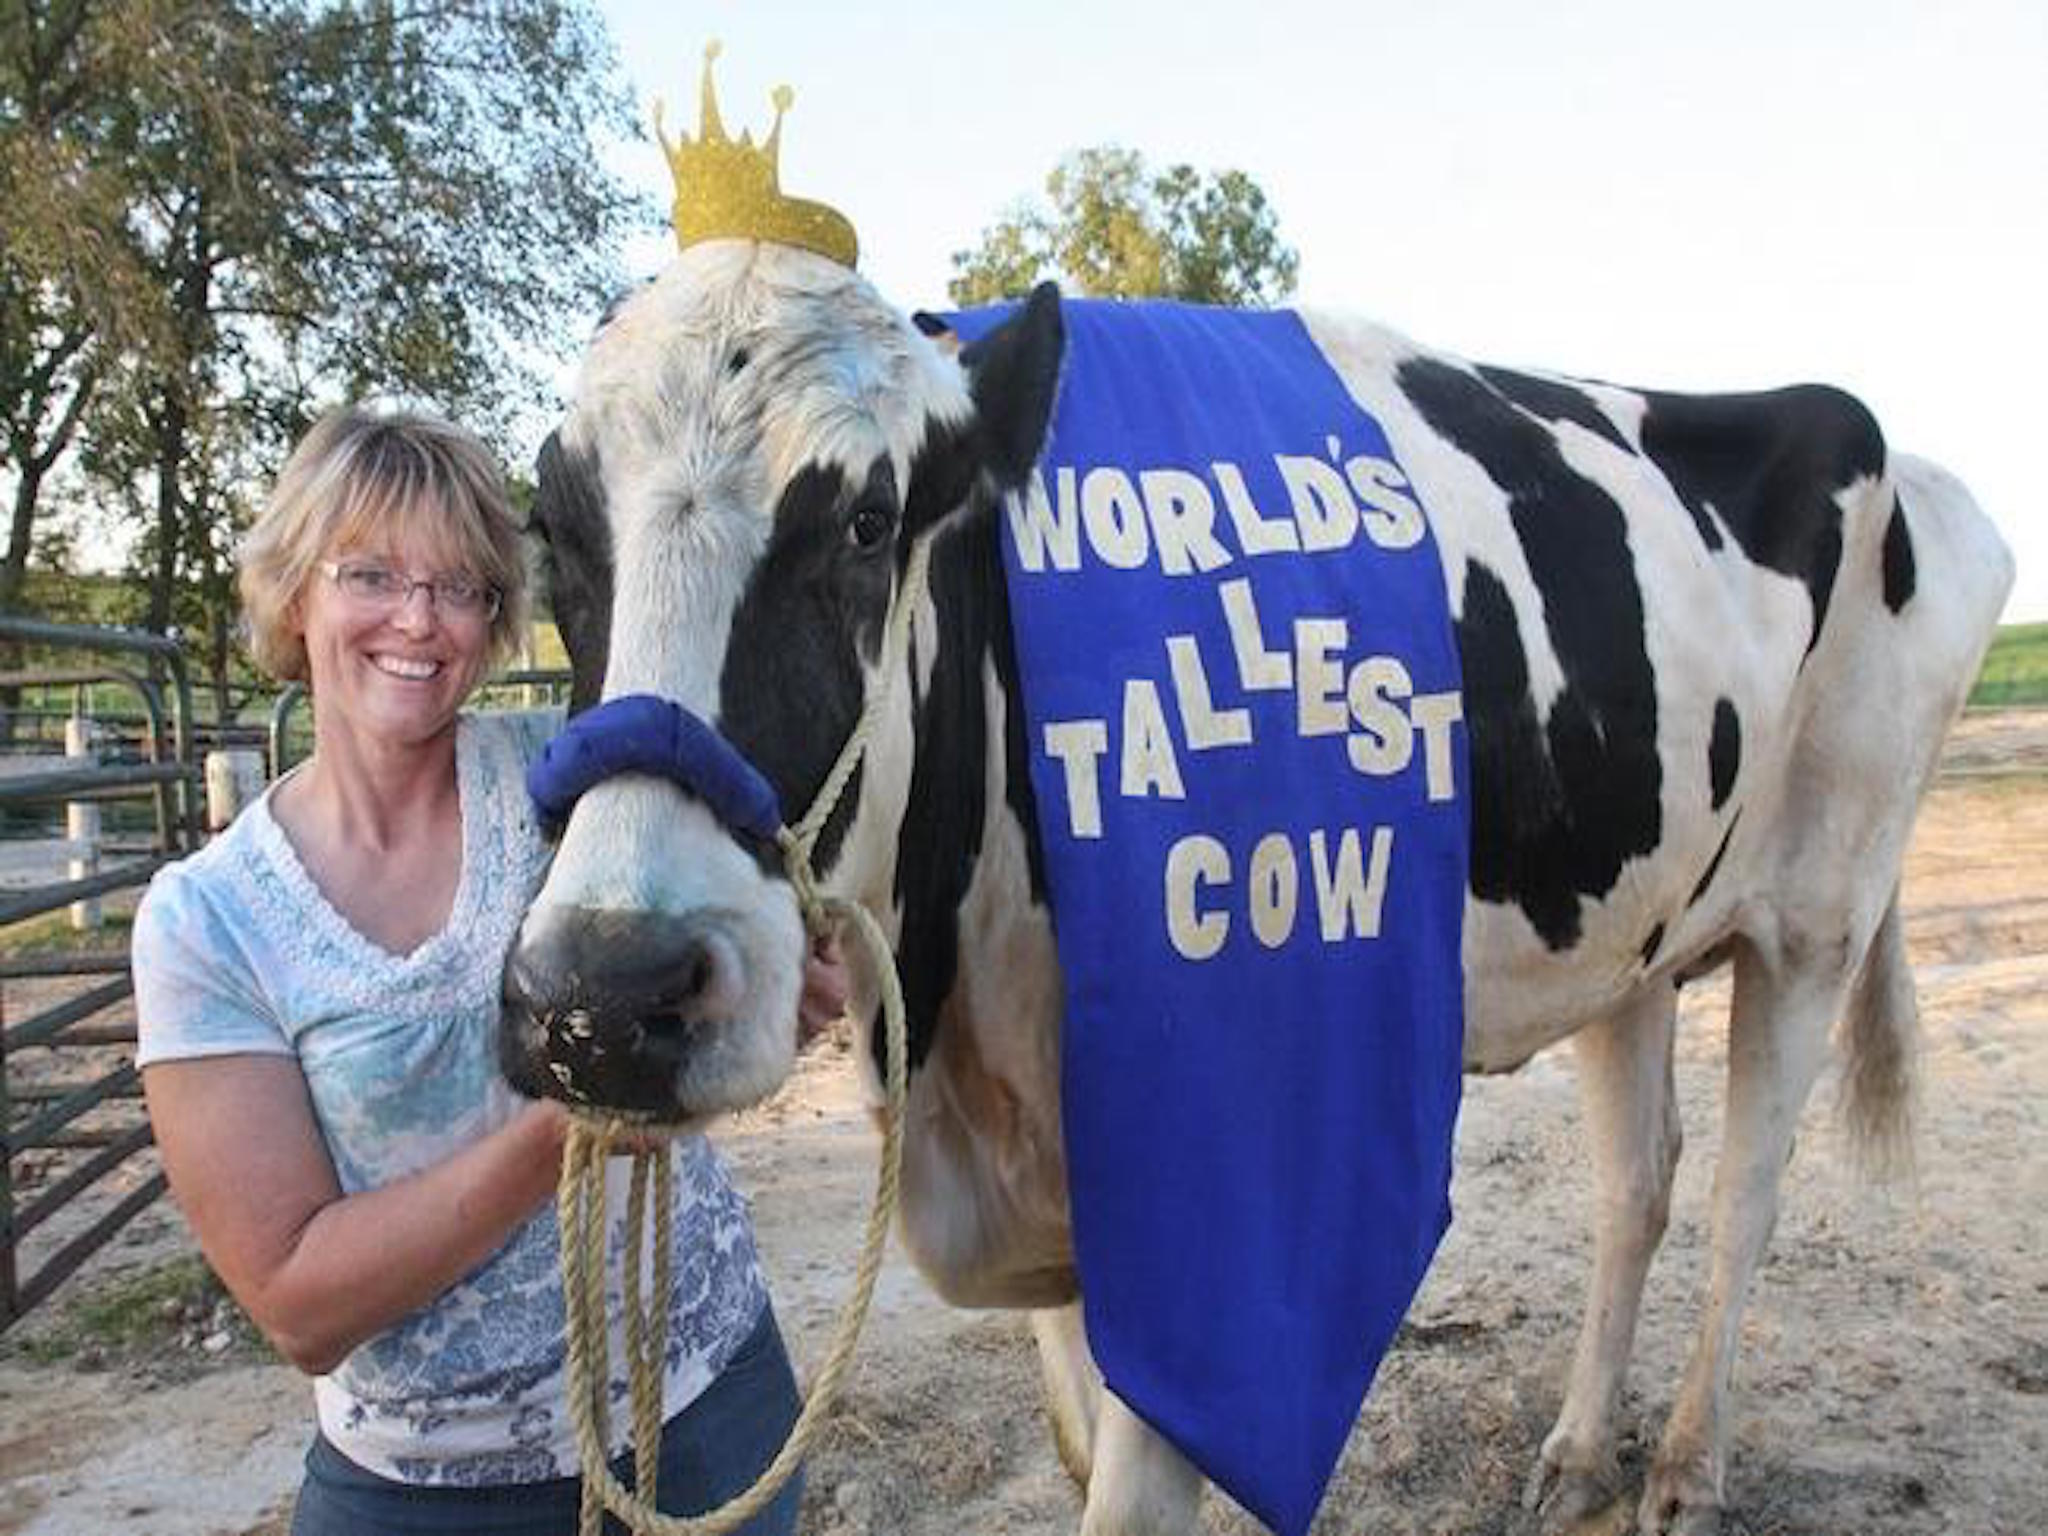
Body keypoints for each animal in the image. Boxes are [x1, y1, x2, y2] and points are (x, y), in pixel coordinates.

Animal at [499, 243, 2015, 1536]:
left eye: (870, 523)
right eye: (549, 532)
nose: (605, 999)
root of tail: (1895, 450)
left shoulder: (1206, 1196)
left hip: (1821, 910)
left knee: (1746, 1191)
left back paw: (1688, 1468)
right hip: (1629, 919)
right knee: (1639, 1182)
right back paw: (1583, 1454)